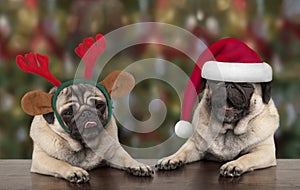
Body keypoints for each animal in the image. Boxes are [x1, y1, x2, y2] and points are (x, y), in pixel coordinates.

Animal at [16, 33, 154, 183]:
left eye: (99, 105)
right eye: (68, 112)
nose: (86, 113)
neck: (83, 147)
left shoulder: (114, 152)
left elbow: (126, 157)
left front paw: (138, 165)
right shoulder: (41, 158)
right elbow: (59, 163)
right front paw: (75, 171)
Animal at [157, 37, 278, 177]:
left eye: (245, 85)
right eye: (216, 81)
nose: (228, 85)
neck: (228, 129)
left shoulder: (265, 151)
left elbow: (247, 157)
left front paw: (233, 165)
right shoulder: (196, 145)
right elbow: (182, 150)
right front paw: (171, 158)